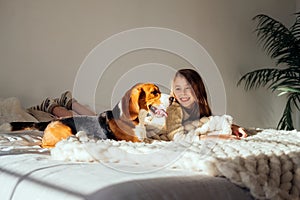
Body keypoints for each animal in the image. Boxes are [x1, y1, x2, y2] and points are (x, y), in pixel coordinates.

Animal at [5, 82, 166, 147]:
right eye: (154, 92)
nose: (170, 98)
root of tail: (52, 121)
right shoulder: (135, 141)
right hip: (65, 132)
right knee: (44, 144)